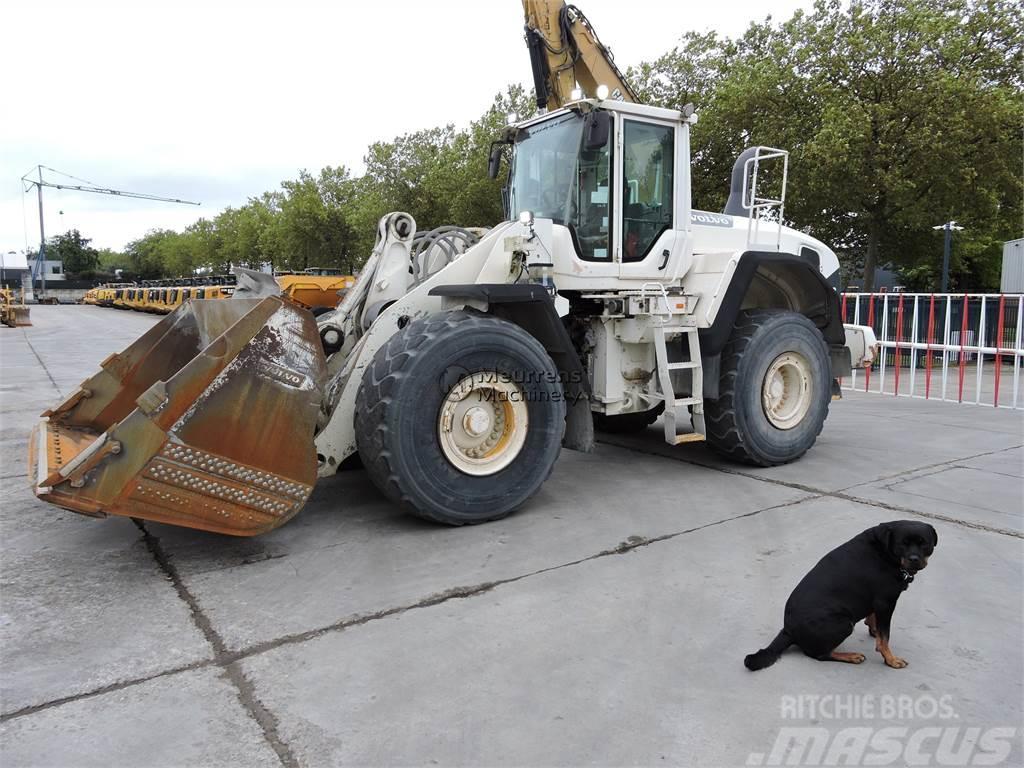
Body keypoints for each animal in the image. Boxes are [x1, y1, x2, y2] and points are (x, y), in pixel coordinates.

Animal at [745, 520, 937, 671]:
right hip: (844, 623)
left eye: (924, 544)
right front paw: (891, 659)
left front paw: (873, 629)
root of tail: (788, 630)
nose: (914, 559)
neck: (885, 551)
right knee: (819, 654)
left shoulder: (877, 602)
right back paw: (850, 656)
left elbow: (874, 620)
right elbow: (885, 638)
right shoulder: (886, 602)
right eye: (902, 544)